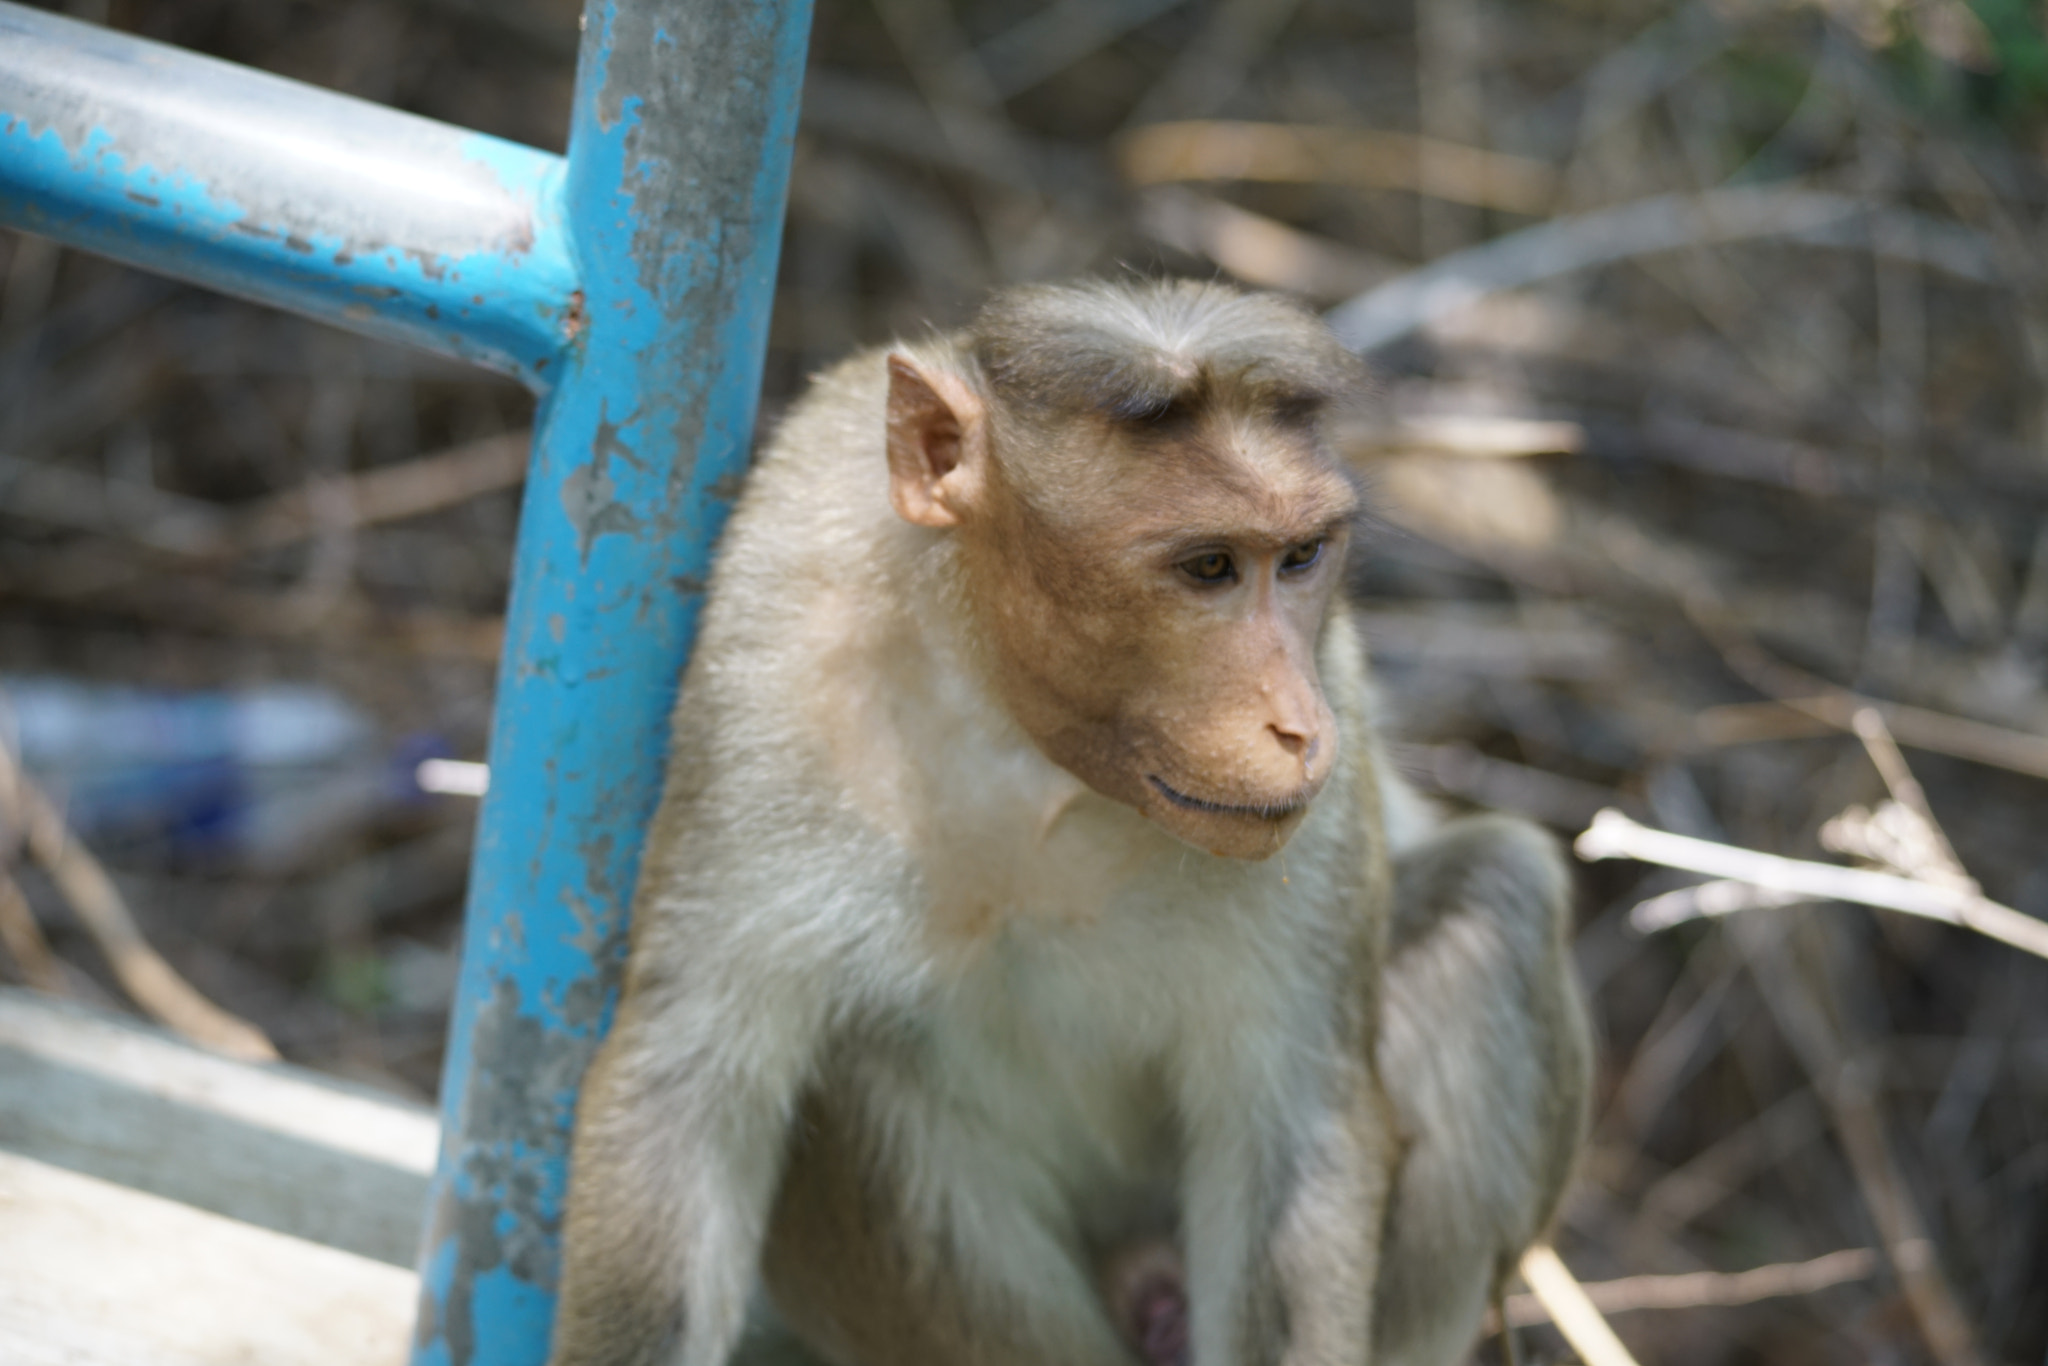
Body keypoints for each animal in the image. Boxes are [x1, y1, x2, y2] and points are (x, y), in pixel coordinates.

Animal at [540, 278, 1581, 1366]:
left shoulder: (1328, 712)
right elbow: (687, 1087)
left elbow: (1295, 1130)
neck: (1021, 739)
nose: (1299, 726)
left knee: (1494, 899)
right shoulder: (767, 649)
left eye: (1299, 558)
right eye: (1209, 567)